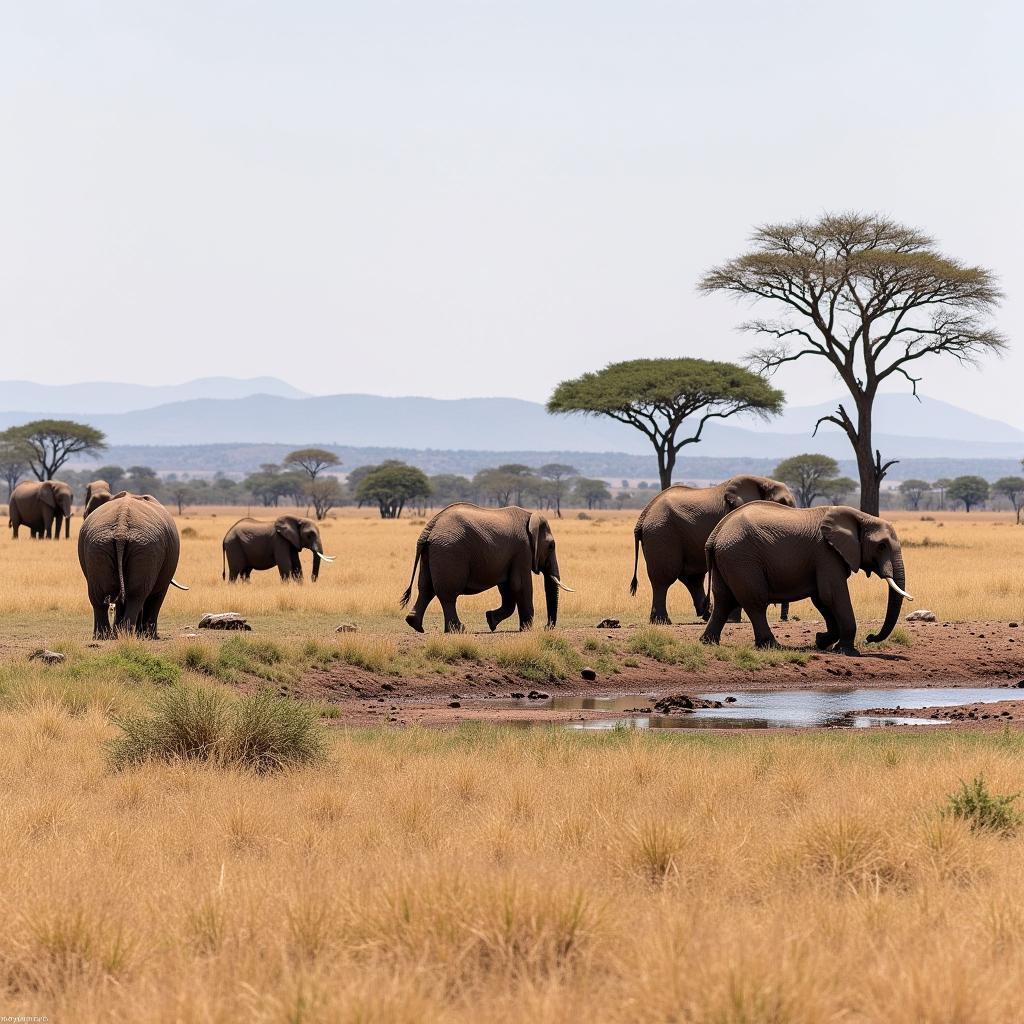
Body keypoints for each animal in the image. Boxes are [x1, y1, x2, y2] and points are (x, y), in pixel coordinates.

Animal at [77, 489, 190, 634]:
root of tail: (121, 529)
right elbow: (157, 595)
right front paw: (147, 635)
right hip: (145, 547)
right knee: (136, 595)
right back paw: (127, 633)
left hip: (99, 546)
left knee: (100, 595)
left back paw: (105, 635)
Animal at [399, 501, 577, 630]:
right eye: (551, 546)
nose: (547, 627)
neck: (530, 516)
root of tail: (429, 528)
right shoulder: (522, 550)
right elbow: (519, 585)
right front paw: (526, 629)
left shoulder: (509, 557)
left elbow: (507, 589)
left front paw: (491, 620)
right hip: (448, 551)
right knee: (447, 594)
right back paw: (458, 629)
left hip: (431, 554)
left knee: (426, 588)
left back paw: (415, 625)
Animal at [626, 473, 794, 622]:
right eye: (782, 502)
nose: (784, 619)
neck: (763, 480)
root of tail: (643, 516)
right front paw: (733, 621)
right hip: (661, 532)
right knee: (663, 578)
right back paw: (662, 621)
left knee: (692, 578)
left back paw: (706, 614)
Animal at [700, 501, 909, 655]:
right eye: (881, 546)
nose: (870, 637)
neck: (861, 517)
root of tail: (714, 535)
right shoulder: (826, 553)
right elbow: (832, 595)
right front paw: (847, 651)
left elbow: (821, 599)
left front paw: (821, 640)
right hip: (742, 559)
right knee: (755, 601)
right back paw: (771, 646)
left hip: (728, 559)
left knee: (723, 600)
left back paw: (708, 642)